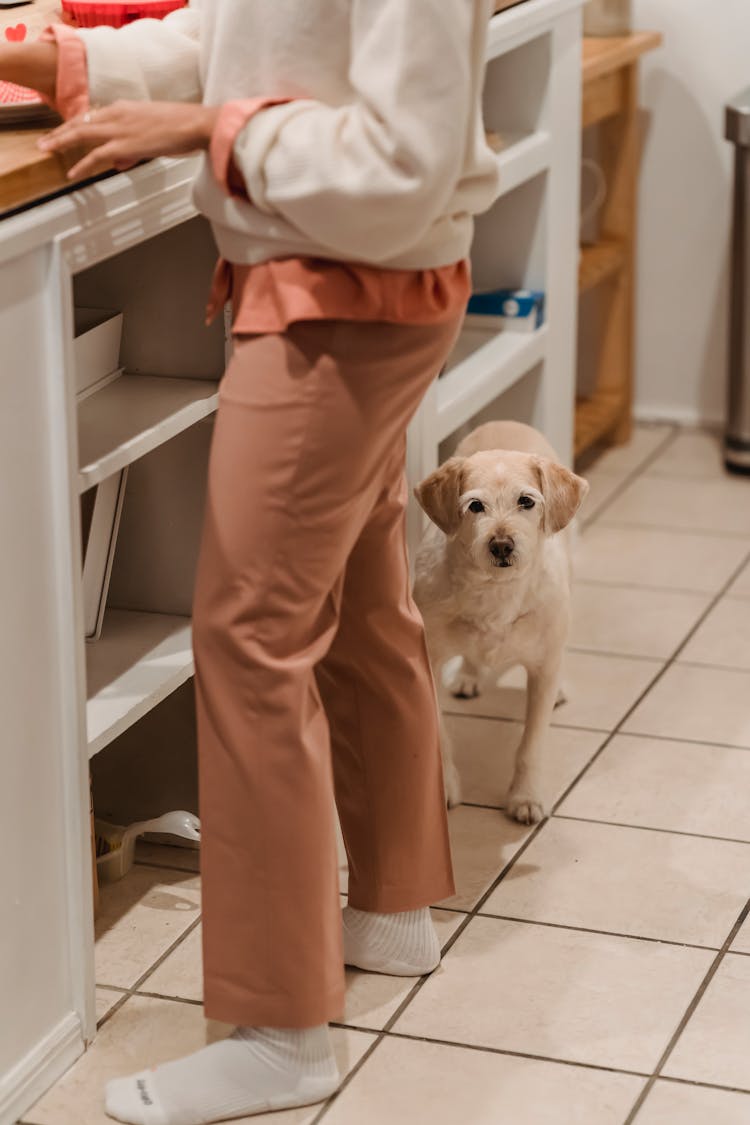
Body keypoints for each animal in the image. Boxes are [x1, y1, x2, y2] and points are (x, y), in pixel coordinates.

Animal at [413, 423, 589, 828]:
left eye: (526, 501)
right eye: (475, 505)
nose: (502, 545)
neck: (494, 592)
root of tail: (506, 422)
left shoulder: (542, 670)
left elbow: (531, 744)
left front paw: (525, 798)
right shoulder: (429, 662)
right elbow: (440, 735)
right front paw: (445, 789)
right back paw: (468, 675)